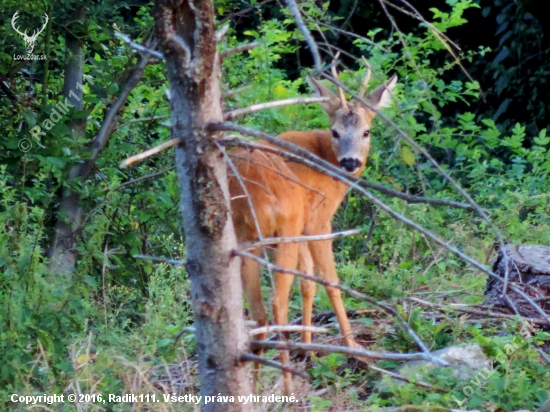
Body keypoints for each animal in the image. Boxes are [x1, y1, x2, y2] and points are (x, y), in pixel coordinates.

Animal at [226, 58, 398, 392]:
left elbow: (307, 281)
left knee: (257, 310)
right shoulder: (319, 220)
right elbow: (330, 281)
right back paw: (287, 384)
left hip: (247, 234)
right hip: (284, 227)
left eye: (367, 131)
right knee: (277, 302)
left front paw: (308, 348)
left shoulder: (305, 225)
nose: (350, 162)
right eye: (335, 131)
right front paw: (354, 350)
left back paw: (256, 379)